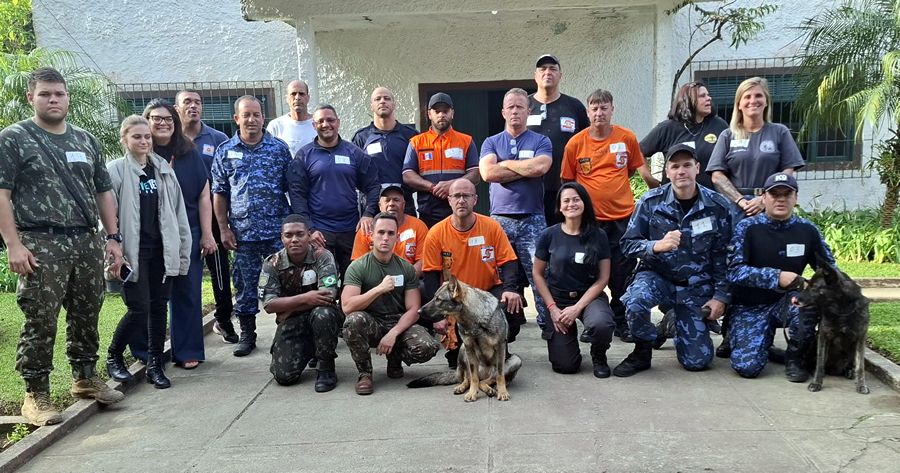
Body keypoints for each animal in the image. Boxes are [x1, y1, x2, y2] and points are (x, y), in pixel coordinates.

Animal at [800, 256, 868, 392]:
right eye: (807, 284)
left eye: (813, 288)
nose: (796, 299)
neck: (842, 311)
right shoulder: (823, 336)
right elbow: (820, 363)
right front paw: (816, 383)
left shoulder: (860, 339)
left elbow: (860, 366)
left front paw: (861, 385)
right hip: (813, 343)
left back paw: (850, 371)